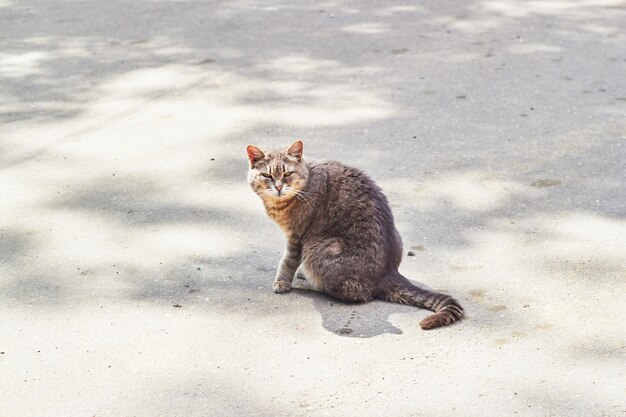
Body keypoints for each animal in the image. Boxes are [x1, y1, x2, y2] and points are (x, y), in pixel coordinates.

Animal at [246, 141, 460, 330]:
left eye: (288, 173)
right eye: (267, 175)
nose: (279, 187)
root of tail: (389, 273)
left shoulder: (297, 237)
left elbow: (288, 261)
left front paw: (281, 282)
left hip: (319, 249)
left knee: (353, 293)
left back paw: (310, 279)